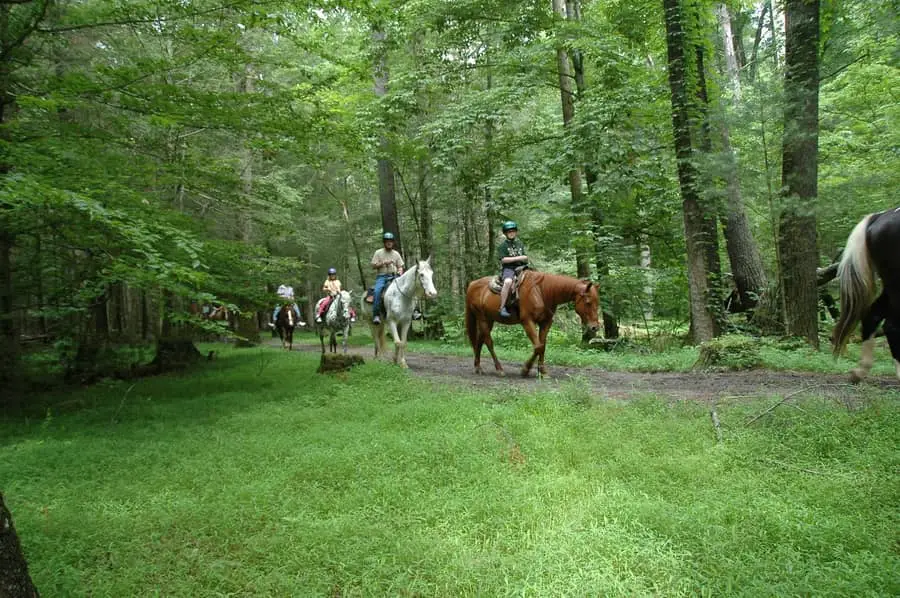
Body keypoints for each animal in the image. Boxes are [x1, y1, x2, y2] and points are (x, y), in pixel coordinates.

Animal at [468, 274, 600, 378]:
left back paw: (478, 367)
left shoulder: (545, 323)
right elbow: (538, 347)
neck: (542, 292)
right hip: (482, 318)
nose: (595, 327)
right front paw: (525, 370)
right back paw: (499, 369)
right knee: (489, 342)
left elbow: (542, 346)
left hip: (489, 319)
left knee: (480, 340)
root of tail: (472, 284)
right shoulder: (527, 322)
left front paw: (542, 372)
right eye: (588, 302)